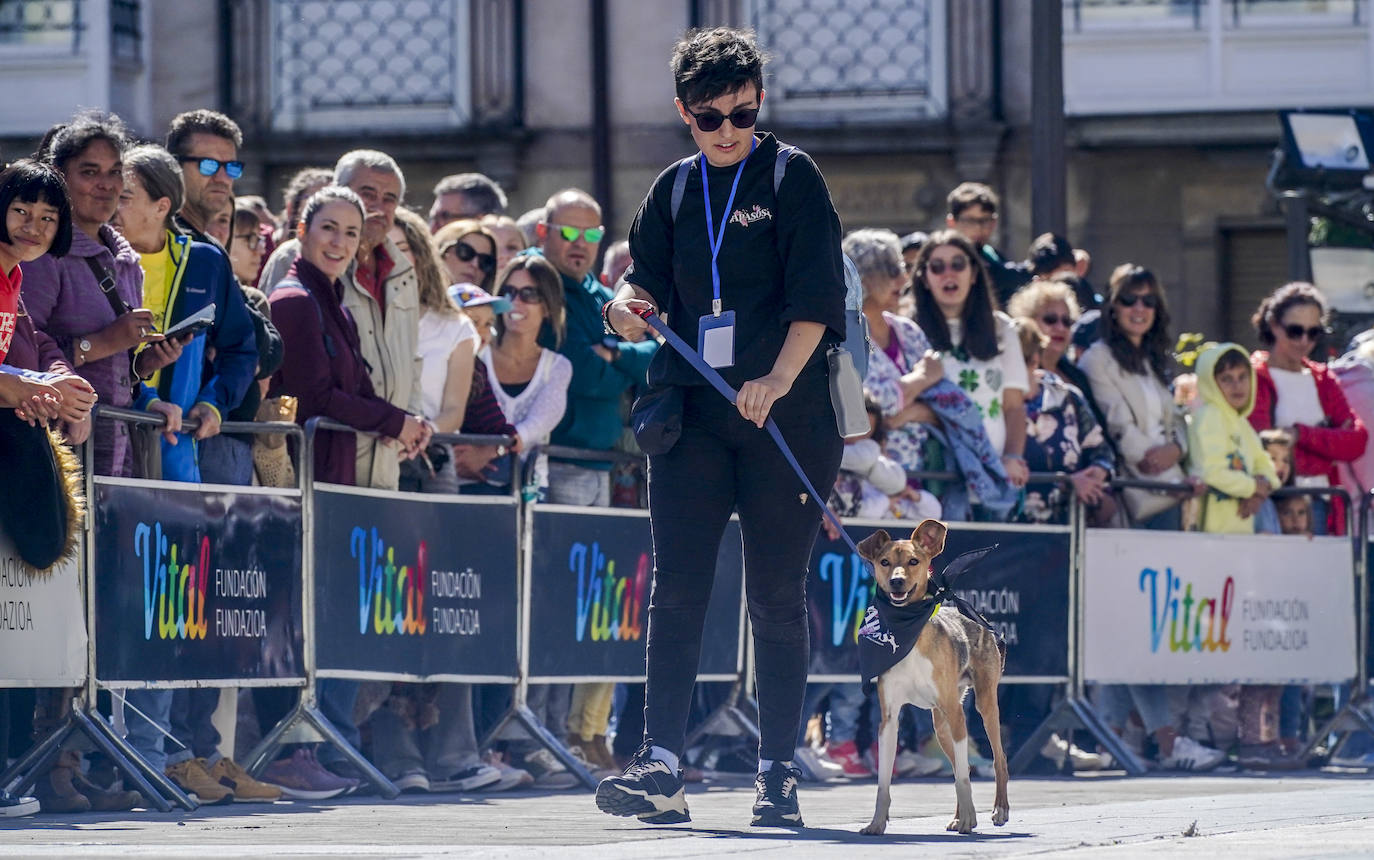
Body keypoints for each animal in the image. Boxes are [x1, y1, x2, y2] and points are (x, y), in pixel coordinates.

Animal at [857, 519, 1011, 835]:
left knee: (997, 759)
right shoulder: (889, 720)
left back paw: (999, 810)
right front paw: (877, 823)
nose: (897, 582)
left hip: (982, 706)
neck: (909, 631)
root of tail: (978, 621)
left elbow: (964, 776)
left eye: (914, 561)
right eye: (884, 562)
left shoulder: (956, 713)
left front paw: (969, 819)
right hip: (941, 726)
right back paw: (959, 815)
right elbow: (883, 782)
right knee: (959, 767)